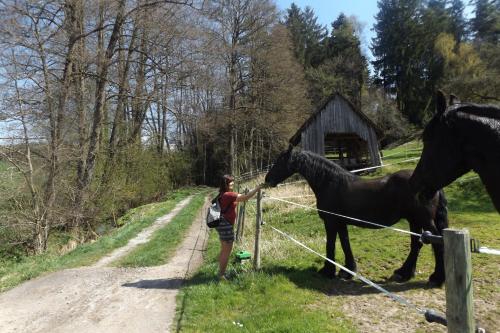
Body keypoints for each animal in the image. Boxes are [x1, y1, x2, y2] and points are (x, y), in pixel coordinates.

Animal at [266, 148, 450, 286]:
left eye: (281, 161)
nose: (268, 179)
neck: (330, 183)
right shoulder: (340, 222)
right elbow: (345, 243)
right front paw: (348, 271)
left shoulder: (331, 222)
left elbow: (330, 245)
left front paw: (328, 271)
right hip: (414, 220)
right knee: (416, 245)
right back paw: (404, 273)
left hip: (424, 220)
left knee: (437, 243)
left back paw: (436, 278)